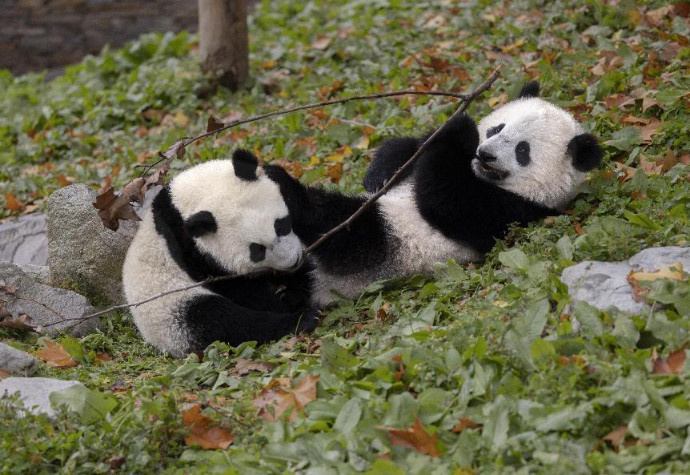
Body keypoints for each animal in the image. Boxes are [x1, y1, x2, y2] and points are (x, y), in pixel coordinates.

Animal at [122, 152, 316, 356]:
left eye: (281, 225)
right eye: (257, 251)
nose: (293, 261)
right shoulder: (192, 251)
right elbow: (241, 290)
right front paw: (287, 304)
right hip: (171, 315)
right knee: (221, 322)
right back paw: (299, 321)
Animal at [266, 81, 600, 308]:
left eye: (522, 150)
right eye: (497, 129)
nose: (485, 154)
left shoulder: (516, 212)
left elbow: (448, 203)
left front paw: (460, 127)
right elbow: (406, 150)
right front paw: (380, 174)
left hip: (382, 247)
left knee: (340, 226)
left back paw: (284, 191)